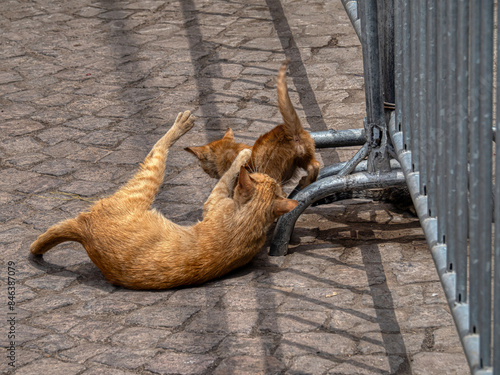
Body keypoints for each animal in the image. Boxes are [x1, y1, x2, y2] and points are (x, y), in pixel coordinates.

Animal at [30, 111, 296, 290]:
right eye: (264, 178)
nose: (267, 175)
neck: (248, 222)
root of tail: (83, 231)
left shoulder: (214, 201)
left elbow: (228, 174)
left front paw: (241, 155)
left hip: (147, 181)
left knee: (158, 147)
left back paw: (181, 124)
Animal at [185, 62, 320, 191]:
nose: (207, 173)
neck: (228, 149)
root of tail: (287, 131)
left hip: (272, 172)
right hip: (304, 157)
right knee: (315, 166)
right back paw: (306, 182)